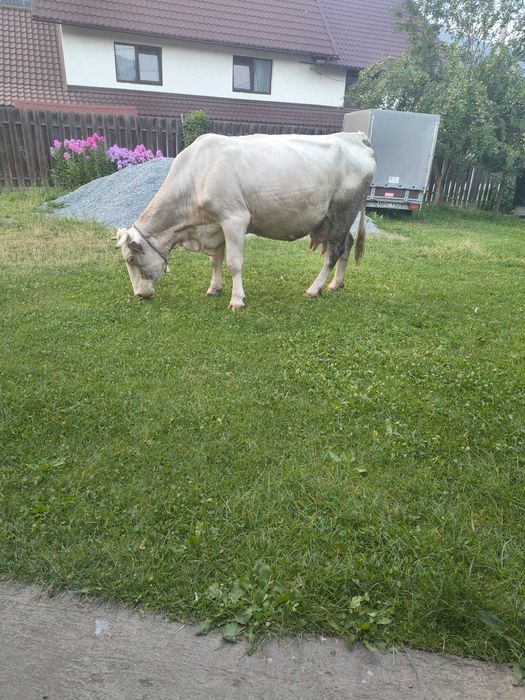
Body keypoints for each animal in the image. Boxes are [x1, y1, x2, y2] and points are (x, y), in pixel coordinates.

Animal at [115, 131, 376, 309]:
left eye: (131, 259)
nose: (139, 295)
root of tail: (355, 137)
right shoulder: (214, 225)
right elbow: (216, 260)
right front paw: (214, 288)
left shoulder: (234, 218)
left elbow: (233, 262)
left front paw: (237, 300)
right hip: (338, 219)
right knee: (346, 245)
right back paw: (335, 284)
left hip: (342, 211)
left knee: (334, 252)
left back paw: (314, 288)